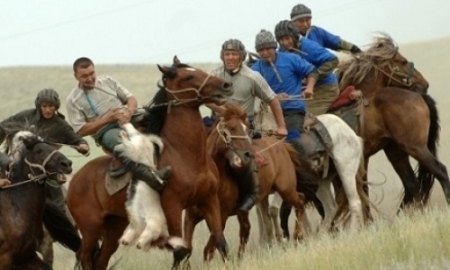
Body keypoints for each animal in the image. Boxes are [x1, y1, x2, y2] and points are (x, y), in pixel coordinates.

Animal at [67, 55, 236, 270]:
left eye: (197, 70)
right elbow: (181, 250)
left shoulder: (209, 200)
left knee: (100, 260)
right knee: (86, 258)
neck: (186, 154)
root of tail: (75, 180)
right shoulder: (173, 206)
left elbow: (221, 243)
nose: (226, 85)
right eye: (189, 77)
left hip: (114, 225)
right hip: (90, 228)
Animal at [183, 102, 320, 262]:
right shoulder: (191, 217)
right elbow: (189, 249)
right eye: (232, 127)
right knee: (248, 229)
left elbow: (210, 248)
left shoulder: (221, 216)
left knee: (300, 200)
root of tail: (280, 144)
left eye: (246, 128)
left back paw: (297, 235)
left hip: (286, 188)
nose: (249, 154)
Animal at [338, 32, 446, 209]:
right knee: (412, 185)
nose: (425, 84)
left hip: (415, 147)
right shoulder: (361, 160)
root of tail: (419, 96)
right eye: (402, 61)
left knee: (439, 171)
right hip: (399, 153)